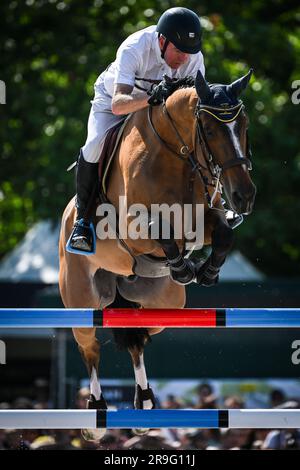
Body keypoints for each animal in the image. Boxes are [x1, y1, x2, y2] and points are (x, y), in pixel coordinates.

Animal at [58, 70, 255, 440]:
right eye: (209, 130)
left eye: (244, 125)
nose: (244, 197)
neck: (175, 153)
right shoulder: (133, 228)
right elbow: (159, 228)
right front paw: (185, 266)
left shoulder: (202, 220)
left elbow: (223, 234)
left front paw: (204, 270)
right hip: (81, 299)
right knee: (89, 347)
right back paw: (96, 416)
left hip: (164, 303)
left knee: (139, 337)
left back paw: (145, 404)